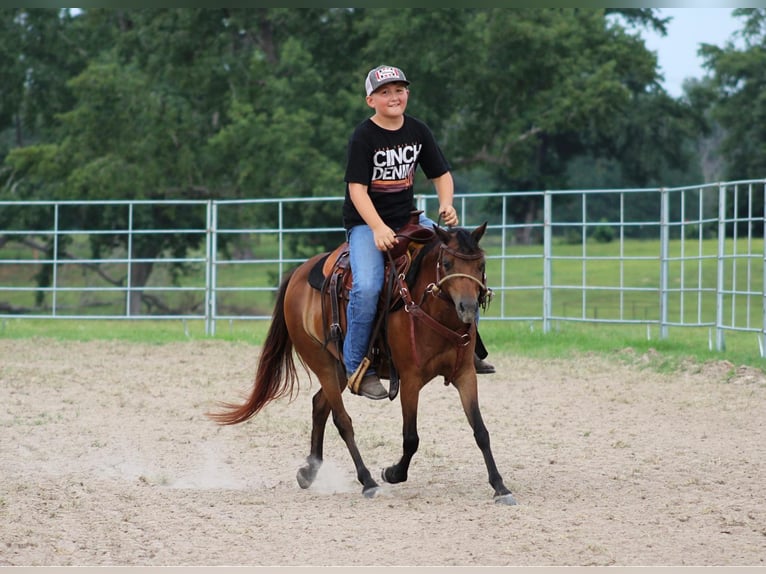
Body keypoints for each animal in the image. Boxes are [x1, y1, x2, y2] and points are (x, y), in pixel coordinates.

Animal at [208, 220, 517, 505]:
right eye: (447, 262)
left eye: (481, 264)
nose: (468, 308)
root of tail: (297, 274)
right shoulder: (410, 380)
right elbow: (411, 438)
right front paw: (392, 473)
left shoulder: (465, 375)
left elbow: (481, 431)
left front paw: (500, 487)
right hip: (322, 364)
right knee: (342, 420)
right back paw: (367, 481)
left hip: (341, 369)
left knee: (319, 405)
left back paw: (309, 471)